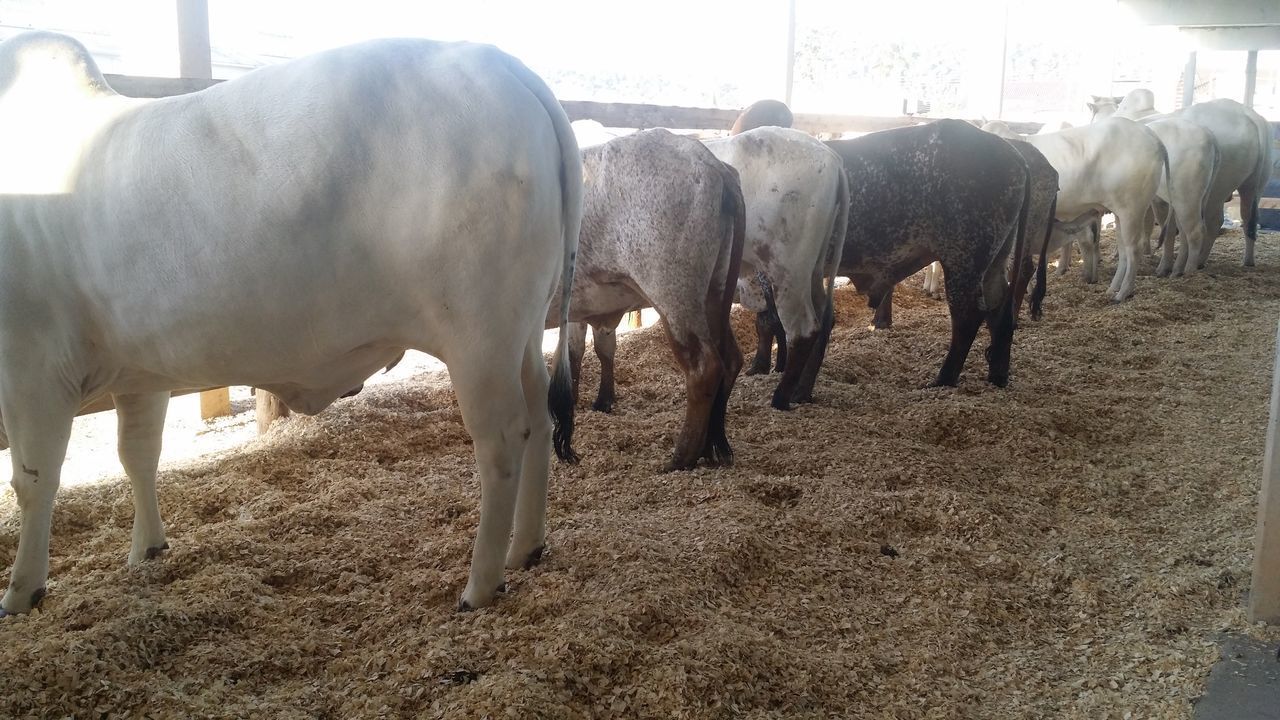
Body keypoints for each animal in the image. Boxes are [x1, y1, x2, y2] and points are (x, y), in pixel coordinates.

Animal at [0, 30, 581, 607]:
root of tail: (506, 67)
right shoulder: (140, 369)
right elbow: (138, 454)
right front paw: (147, 549)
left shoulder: (33, 367)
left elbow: (33, 479)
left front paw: (22, 591)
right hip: (521, 328)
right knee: (539, 414)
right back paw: (526, 548)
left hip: (478, 334)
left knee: (503, 437)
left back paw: (480, 584)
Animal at [701, 127, 849, 409]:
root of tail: (834, 159)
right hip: (812, 271)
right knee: (824, 317)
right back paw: (802, 391)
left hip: (788, 272)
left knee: (804, 329)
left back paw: (781, 398)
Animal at [824, 119, 1034, 386]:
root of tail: (1015, 155)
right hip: (995, 260)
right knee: (1000, 312)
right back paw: (997, 375)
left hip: (963, 260)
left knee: (969, 316)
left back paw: (943, 380)